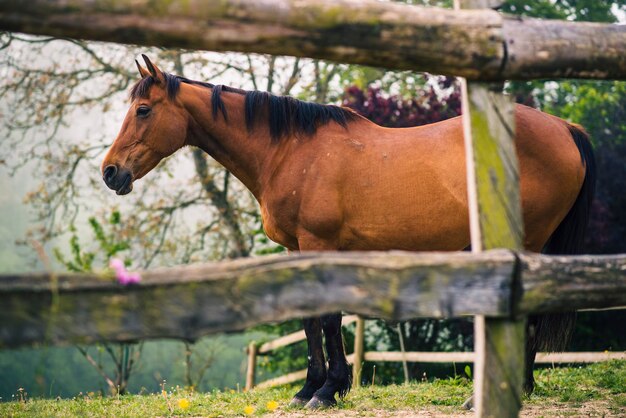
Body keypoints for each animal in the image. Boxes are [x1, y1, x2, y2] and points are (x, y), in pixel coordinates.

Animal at [102, 55, 596, 408]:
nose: (110, 172)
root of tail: (565, 127)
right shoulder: (297, 250)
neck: (290, 150)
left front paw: (327, 392)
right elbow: (309, 319)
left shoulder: (320, 244)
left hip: (528, 243)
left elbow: (328, 318)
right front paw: (308, 389)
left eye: (143, 110)